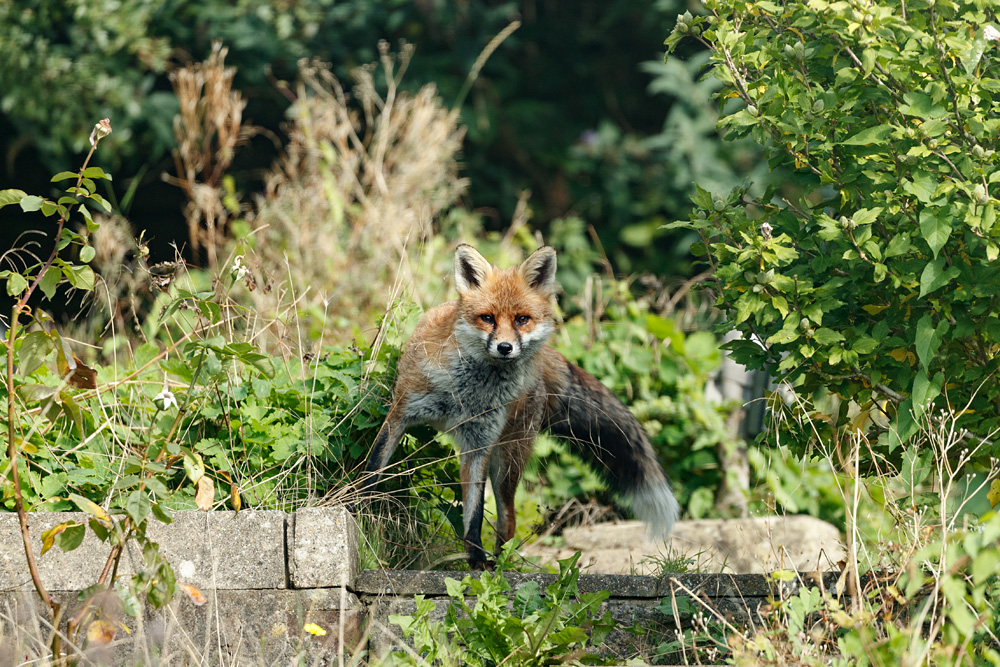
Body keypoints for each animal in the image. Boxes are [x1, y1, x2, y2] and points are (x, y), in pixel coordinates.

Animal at [361, 244, 679, 569]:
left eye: (522, 319)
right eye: (487, 318)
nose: (505, 348)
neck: (466, 395)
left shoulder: (479, 444)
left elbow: (474, 514)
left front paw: (477, 561)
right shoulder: (401, 412)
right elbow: (373, 467)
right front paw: (360, 511)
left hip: (507, 462)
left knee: (508, 521)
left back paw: (502, 564)